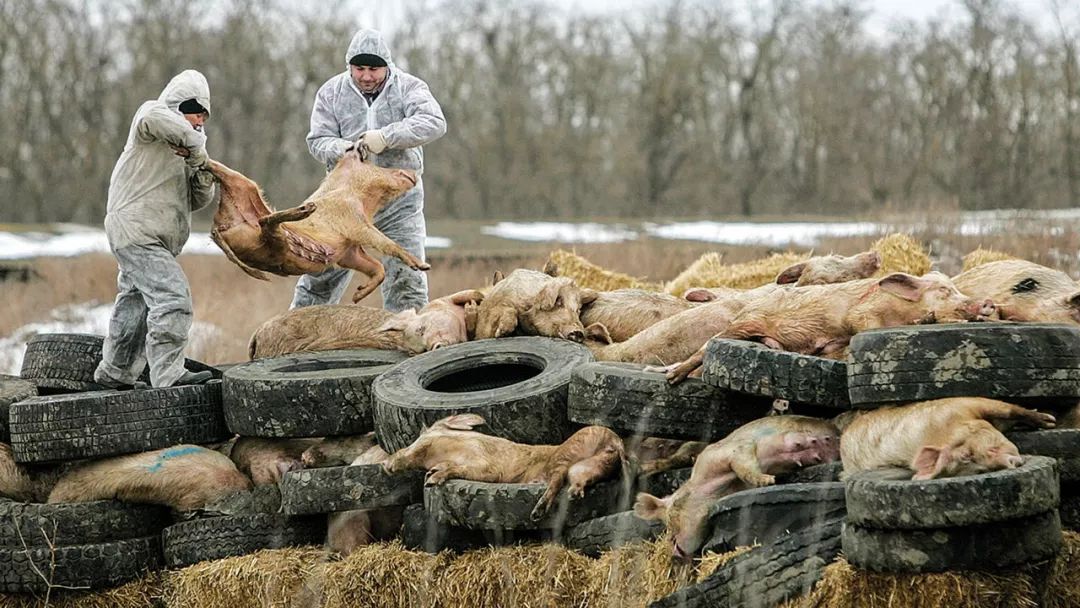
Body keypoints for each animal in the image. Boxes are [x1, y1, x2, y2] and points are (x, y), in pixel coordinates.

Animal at [386, 416, 626, 520]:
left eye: (420, 439)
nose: (387, 464)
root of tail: (613, 439)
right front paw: (431, 473)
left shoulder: (487, 466)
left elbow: (460, 469)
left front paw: (431, 480)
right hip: (591, 465)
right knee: (577, 481)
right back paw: (572, 494)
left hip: (567, 452)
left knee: (556, 479)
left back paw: (536, 511)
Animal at [630, 416, 842, 557]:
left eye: (671, 518)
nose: (675, 553)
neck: (716, 490)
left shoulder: (728, 451)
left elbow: (742, 463)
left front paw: (768, 481)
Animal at [842, 399, 1054, 481]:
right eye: (978, 468)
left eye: (968, 454)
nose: (1011, 463)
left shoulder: (961, 403)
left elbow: (1009, 409)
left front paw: (1049, 421)